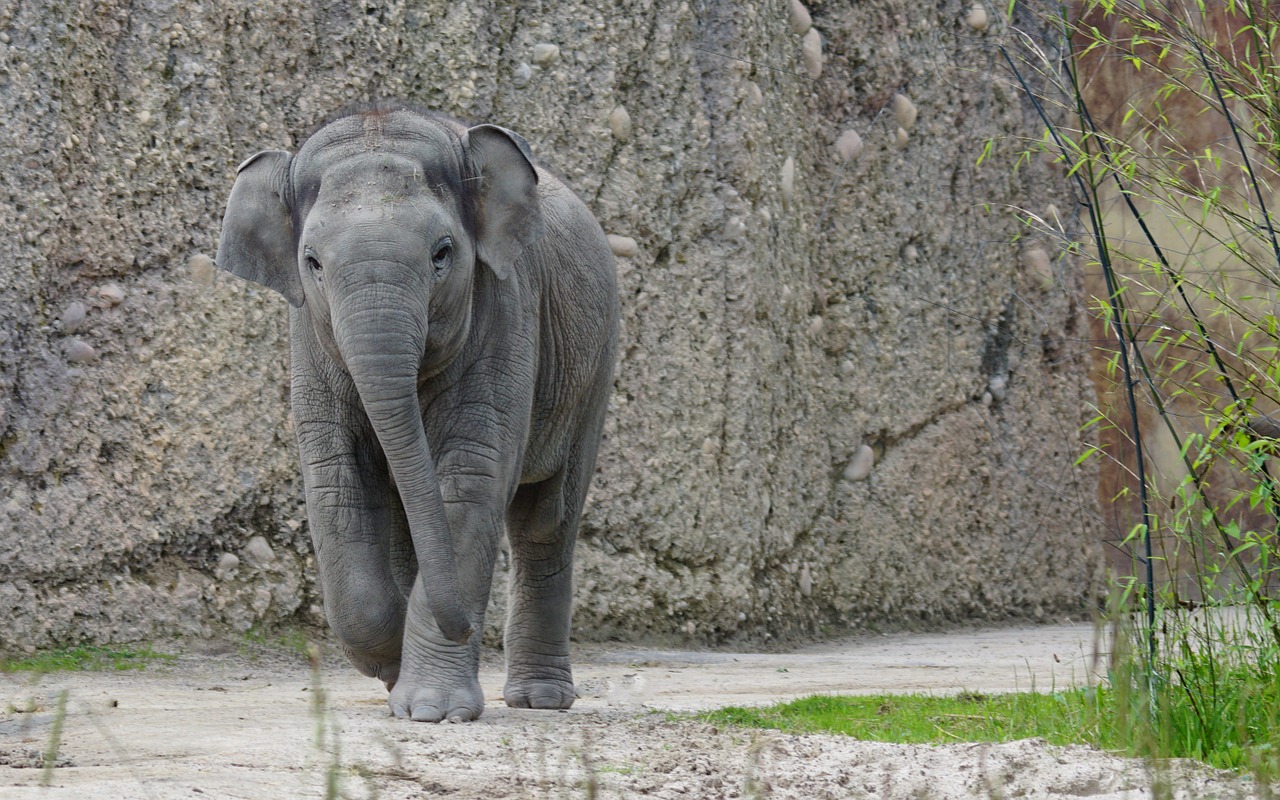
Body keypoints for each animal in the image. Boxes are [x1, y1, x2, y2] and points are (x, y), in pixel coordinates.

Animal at [216, 103, 619, 721]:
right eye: (312, 262)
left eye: (442, 253)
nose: (465, 629)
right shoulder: (307, 337)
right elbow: (335, 479)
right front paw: (390, 669)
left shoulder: (505, 310)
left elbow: (471, 477)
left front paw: (432, 710)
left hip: (595, 361)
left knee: (545, 520)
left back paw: (541, 701)